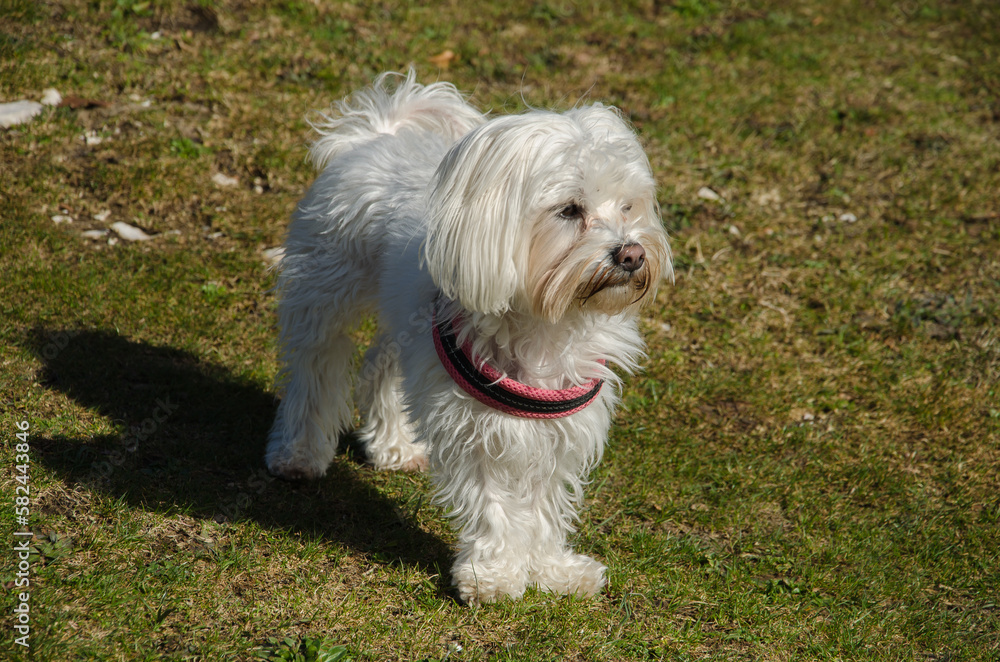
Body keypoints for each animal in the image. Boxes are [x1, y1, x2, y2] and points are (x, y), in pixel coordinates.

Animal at [266, 72, 672, 608]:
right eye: (569, 210)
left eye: (628, 206)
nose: (632, 254)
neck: (548, 322)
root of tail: (380, 134)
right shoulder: (471, 426)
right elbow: (492, 502)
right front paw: (494, 573)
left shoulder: (560, 427)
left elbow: (544, 502)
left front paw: (552, 569)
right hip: (324, 293)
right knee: (314, 374)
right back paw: (299, 453)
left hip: (407, 324)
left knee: (379, 365)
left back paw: (393, 444)